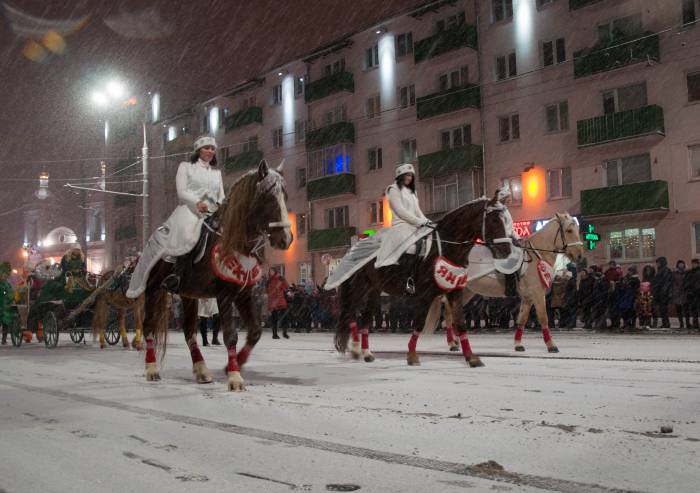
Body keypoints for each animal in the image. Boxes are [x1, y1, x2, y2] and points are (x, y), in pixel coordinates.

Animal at [139, 160, 290, 390]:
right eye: (268, 197)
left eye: (285, 196)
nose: (286, 239)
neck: (232, 242)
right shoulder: (224, 295)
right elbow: (230, 335)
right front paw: (235, 377)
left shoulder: (243, 294)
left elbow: (255, 331)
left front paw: (232, 367)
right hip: (152, 290)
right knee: (148, 327)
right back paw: (151, 369)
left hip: (188, 296)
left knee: (189, 332)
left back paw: (201, 370)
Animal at [330, 194, 512, 368]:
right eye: (495, 220)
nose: (507, 250)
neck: (445, 248)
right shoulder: (426, 294)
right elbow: (419, 323)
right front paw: (412, 355)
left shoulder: (455, 292)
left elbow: (460, 323)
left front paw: (471, 358)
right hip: (359, 287)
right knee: (351, 314)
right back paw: (355, 349)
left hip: (374, 290)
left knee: (365, 318)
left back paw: (366, 352)